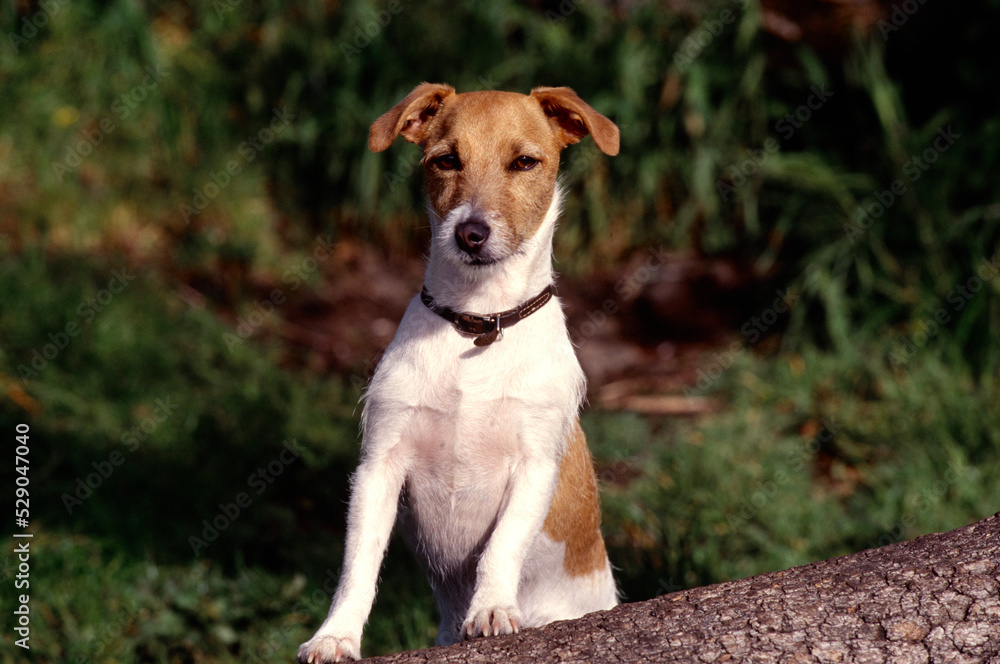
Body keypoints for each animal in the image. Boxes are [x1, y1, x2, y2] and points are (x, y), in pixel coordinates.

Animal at [296, 83, 620, 664]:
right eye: (446, 160)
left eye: (524, 162)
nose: (471, 233)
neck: (478, 324)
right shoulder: (379, 466)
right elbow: (358, 565)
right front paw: (335, 635)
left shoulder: (535, 465)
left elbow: (502, 545)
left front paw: (490, 607)